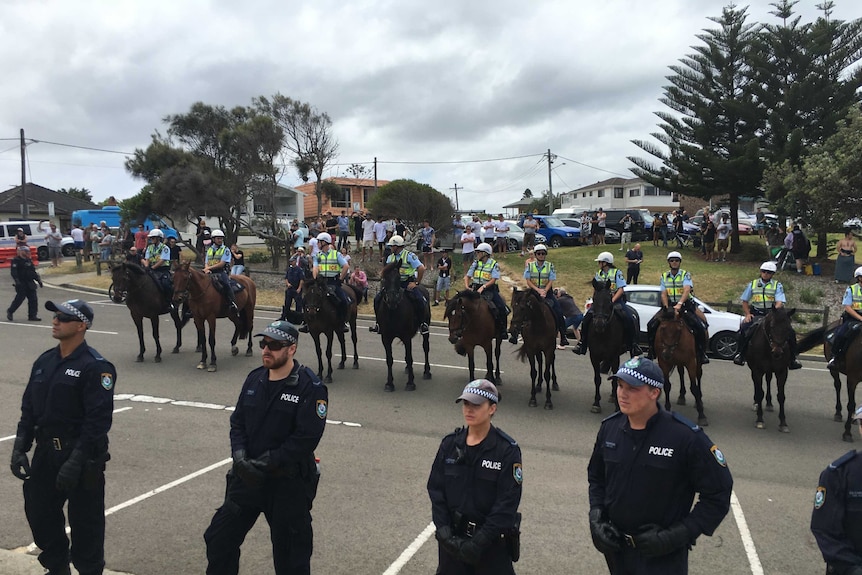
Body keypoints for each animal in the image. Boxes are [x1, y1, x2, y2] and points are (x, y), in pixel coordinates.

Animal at [376, 260, 432, 392]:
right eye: (384, 279)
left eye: (398, 278)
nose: (392, 300)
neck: (393, 312)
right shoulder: (386, 338)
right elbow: (389, 359)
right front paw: (389, 383)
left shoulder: (406, 337)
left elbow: (409, 358)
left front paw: (410, 383)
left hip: (426, 330)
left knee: (426, 347)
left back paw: (427, 372)